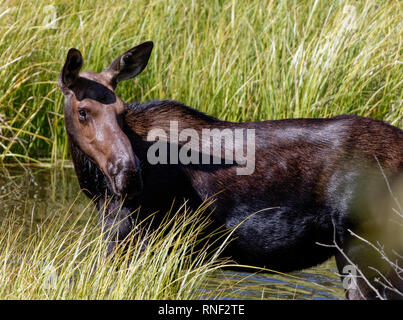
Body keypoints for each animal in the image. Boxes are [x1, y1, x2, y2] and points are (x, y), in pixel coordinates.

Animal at [59, 41, 403, 298]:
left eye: (121, 112)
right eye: (83, 111)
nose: (128, 174)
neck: (97, 187)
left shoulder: (127, 237)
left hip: (368, 249)